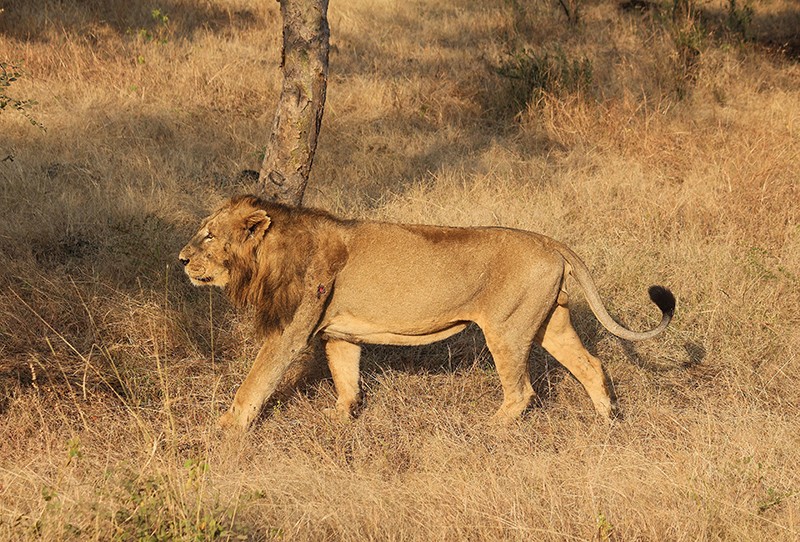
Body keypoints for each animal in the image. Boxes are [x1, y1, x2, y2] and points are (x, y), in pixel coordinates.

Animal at [179, 195, 675, 430]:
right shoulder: (339, 333)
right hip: (550, 322)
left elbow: (255, 382)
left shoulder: (289, 332)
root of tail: (551, 241)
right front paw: (340, 419)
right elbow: (346, 379)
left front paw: (226, 428)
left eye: (208, 235)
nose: (181, 260)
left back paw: (489, 430)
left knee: (522, 392)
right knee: (591, 365)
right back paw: (608, 422)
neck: (267, 255)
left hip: (506, 331)